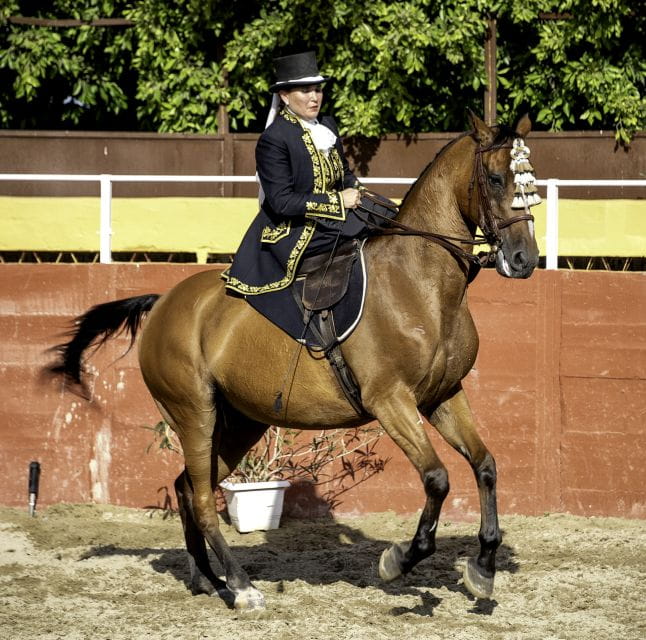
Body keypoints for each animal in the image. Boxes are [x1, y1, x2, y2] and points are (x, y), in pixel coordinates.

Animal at [48, 113, 540, 611]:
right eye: (495, 179)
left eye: (529, 180)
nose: (525, 259)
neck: (418, 282)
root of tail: (163, 301)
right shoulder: (390, 400)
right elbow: (437, 478)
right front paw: (399, 560)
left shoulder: (443, 396)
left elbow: (485, 465)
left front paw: (483, 568)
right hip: (194, 413)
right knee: (202, 499)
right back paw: (241, 587)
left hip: (240, 422)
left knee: (189, 486)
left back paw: (208, 578)